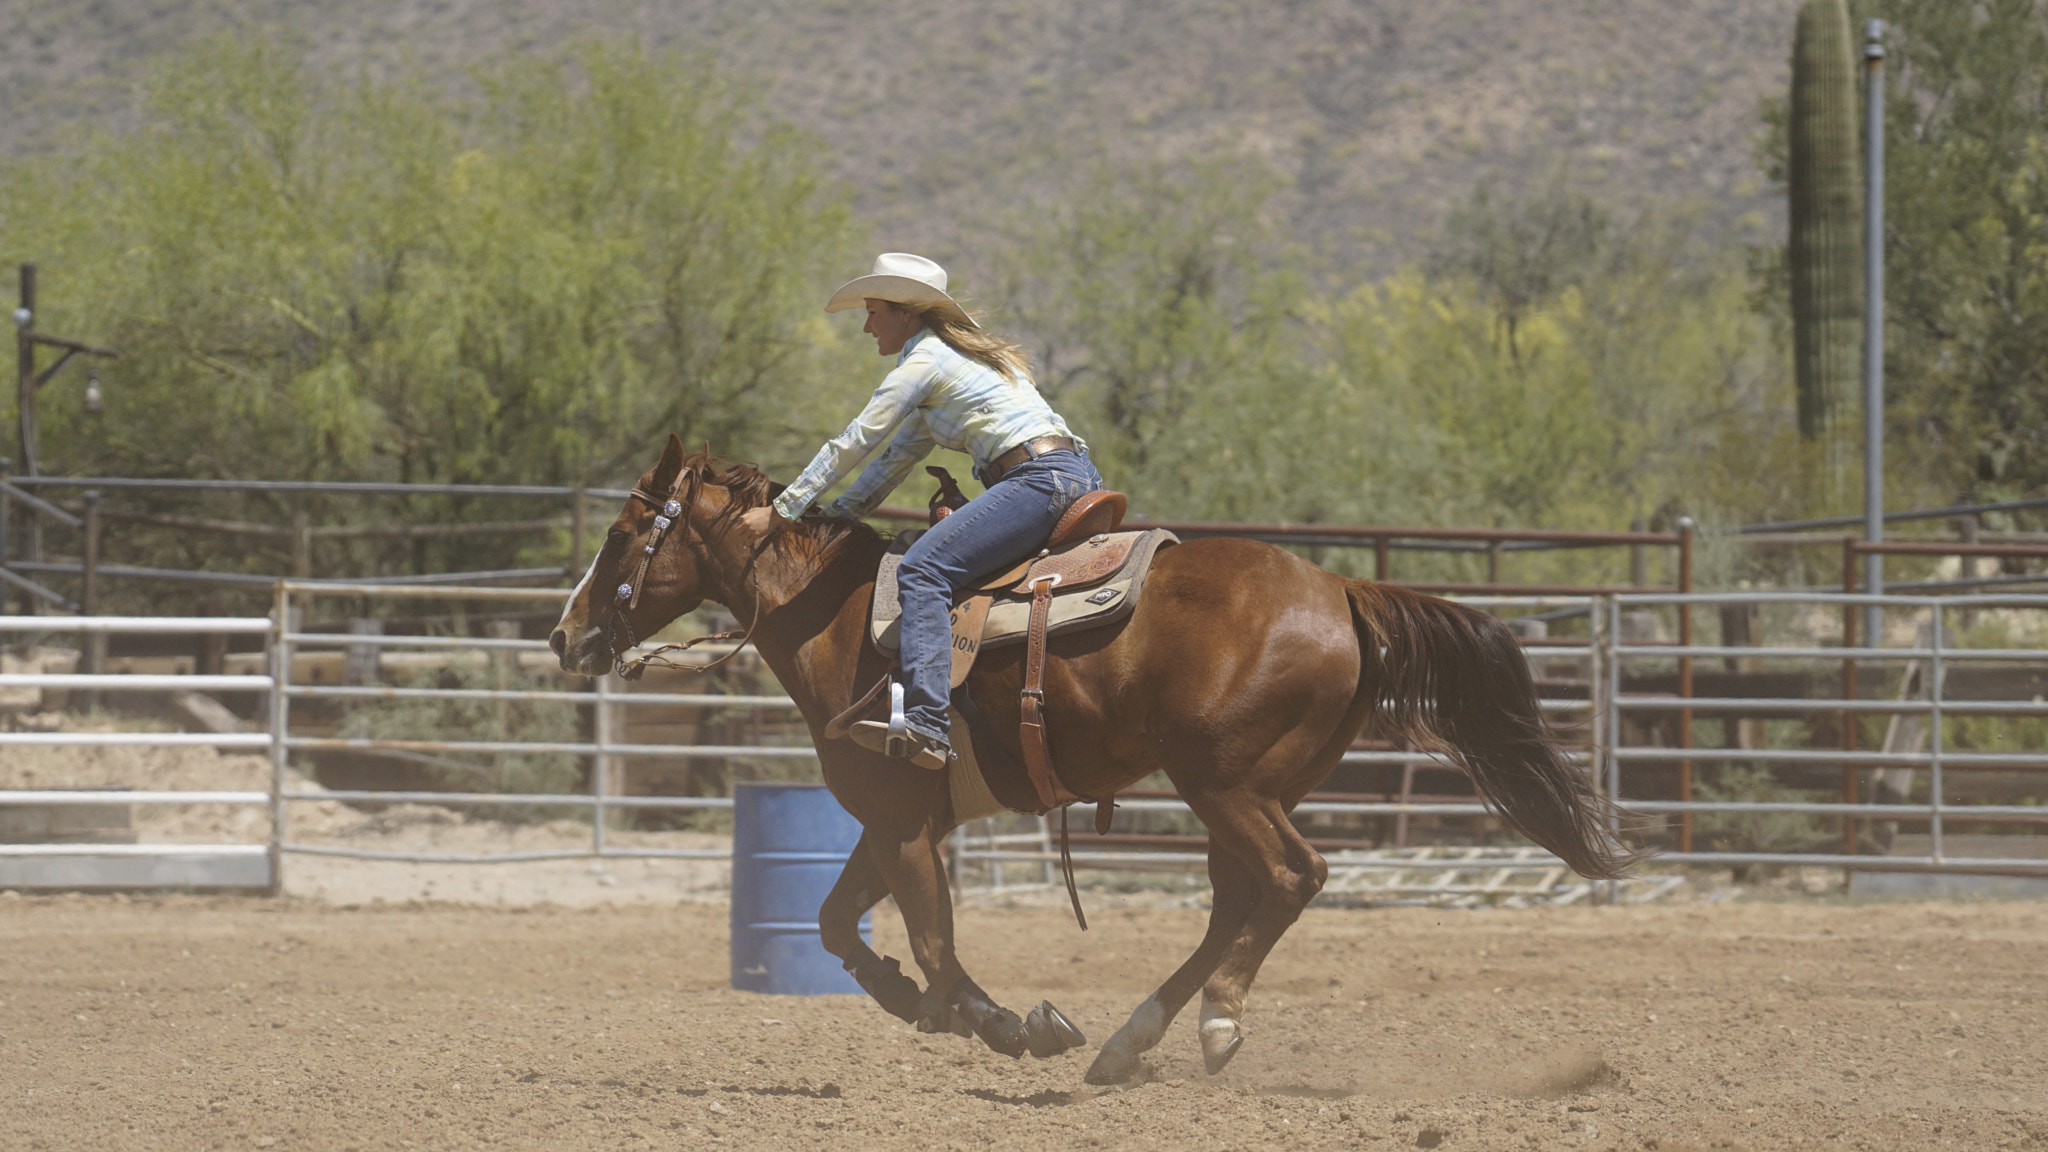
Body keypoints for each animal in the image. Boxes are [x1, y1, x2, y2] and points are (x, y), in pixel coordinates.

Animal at [544, 434, 1630, 1082]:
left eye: (622, 532)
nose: (566, 637)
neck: (848, 619)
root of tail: (1341, 590)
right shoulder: (900, 818)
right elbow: (839, 926)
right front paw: (945, 1008)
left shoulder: (900, 819)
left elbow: (931, 945)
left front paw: (1006, 1026)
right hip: (1251, 787)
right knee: (1239, 900)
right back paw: (1127, 1040)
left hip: (1222, 783)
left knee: (1291, 877)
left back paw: (1212, 1025)